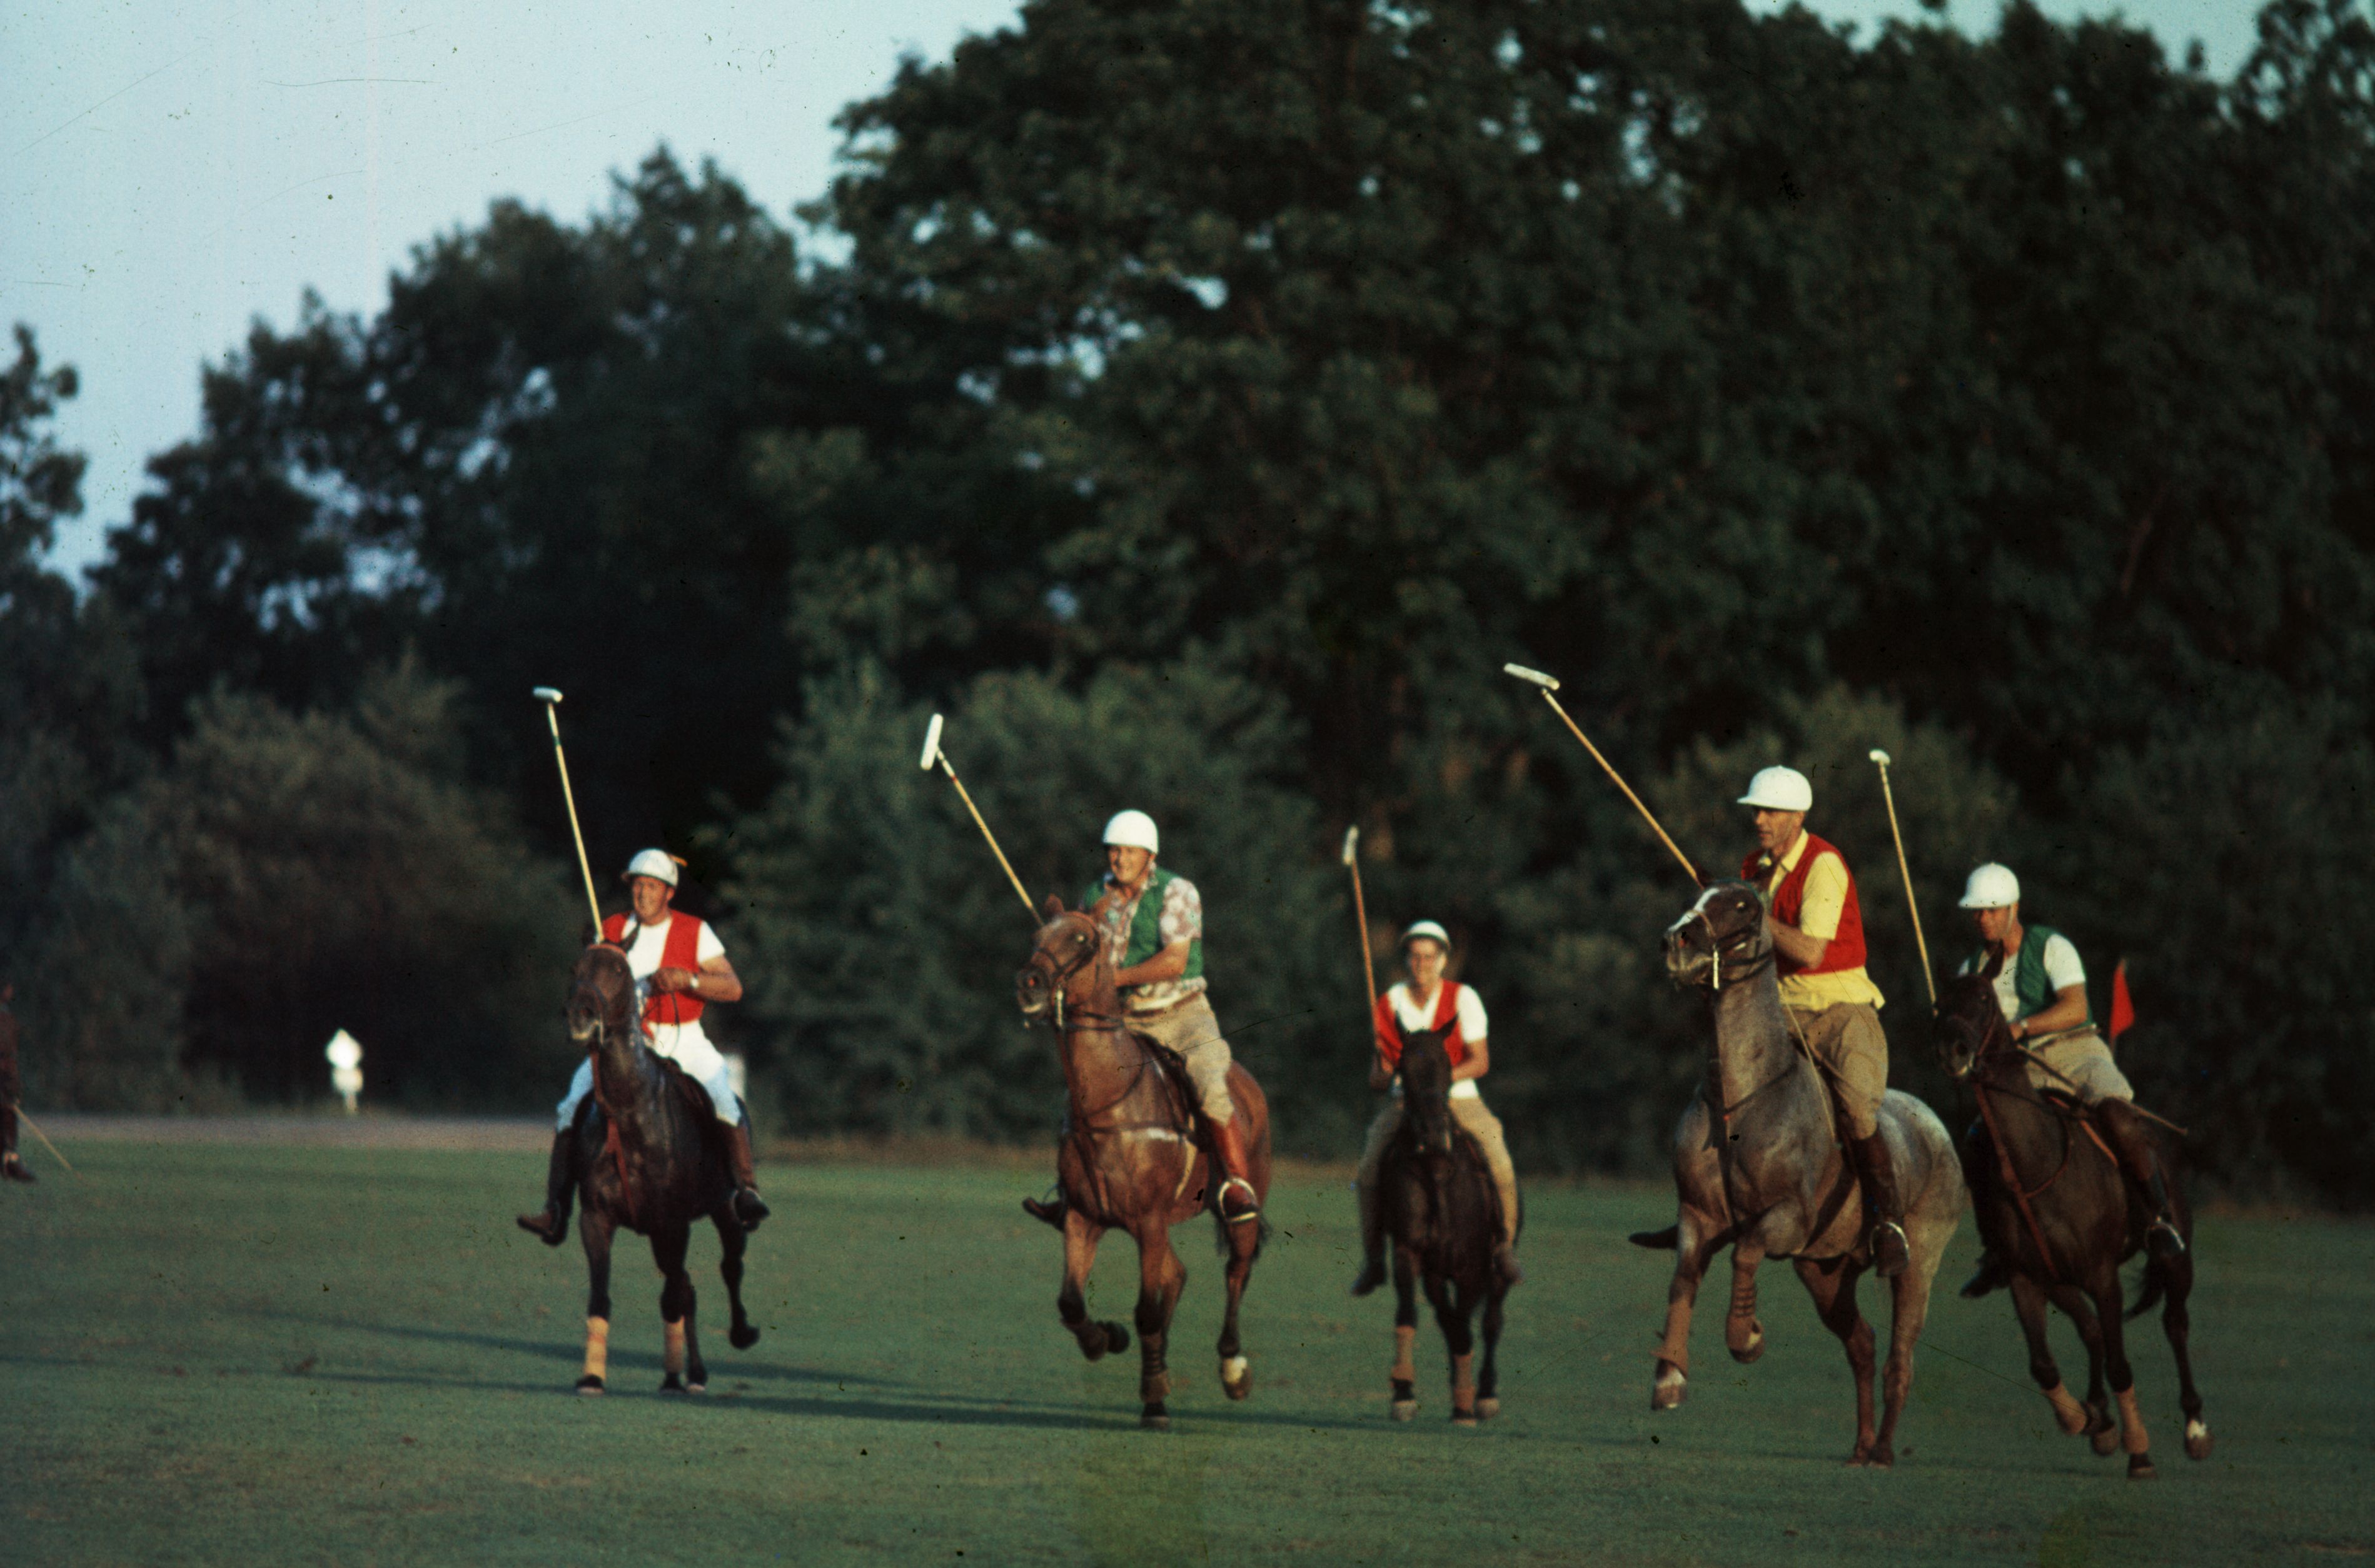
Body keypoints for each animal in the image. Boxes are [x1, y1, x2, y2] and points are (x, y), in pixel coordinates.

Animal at [560, 945, 755, 1397]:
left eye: (619, 970)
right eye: (576, 968)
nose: (580, 1015)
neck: (632, 1112)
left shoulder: (673, 1222)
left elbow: (673, 1297)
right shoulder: (596, 1219)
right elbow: (601, 1295)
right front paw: (592, 1377)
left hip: (724, 1208)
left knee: (728, 1265)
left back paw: (737, 1337)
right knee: (688, 1287)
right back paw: (690, 1373)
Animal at [1011, 898, 1273, 1425]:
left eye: (1083, 939)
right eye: (1036, 937)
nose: (1029, 982)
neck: (1107, 1105)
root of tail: (1247, 1081)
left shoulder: (1148, 1219)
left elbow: (1147, 1310)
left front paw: (1154, 1396)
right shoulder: (1084, 1216)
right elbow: (1071, 1302)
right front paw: (1107, 1340)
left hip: (1240, 1202)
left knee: (1236, 1270)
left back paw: (1233, 1368)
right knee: (1178, 1275)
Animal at [1377, 1031, 1501, 1425]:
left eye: (1448, 1066)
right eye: (1404, 1068)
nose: (1433, 1135)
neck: (1435, 1169)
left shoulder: (1472, 1267)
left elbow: (1465, 1325)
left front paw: (1467, 1402)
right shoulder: (1409, 1252)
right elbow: (1412, 1315)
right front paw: (1403, 1393)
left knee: (1492, 1321)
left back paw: (1485, 1395)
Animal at [1634, 883, 1966, 1473]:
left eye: (1742, 906)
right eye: (1700, 897)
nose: (1677, 940)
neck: (1739, 1100)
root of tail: (1934, 1122)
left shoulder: (1788, 1216)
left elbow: (1745, 1252)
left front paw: (1746, 1337)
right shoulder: (1697, 1215)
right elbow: (1683, 1278)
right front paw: (1669, 1379)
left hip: (1921, 1259)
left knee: (1901, 1353)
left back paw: (1883, 1449)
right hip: (1824, 1270)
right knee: (1861, 1342)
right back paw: (1860, 1446)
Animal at [1928, 960, 2204, 1473]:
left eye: (1983, 999)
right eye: (1939, 1004)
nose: (1952, 1051)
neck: (2035, 1163)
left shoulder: (2103, 1276)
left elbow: (2120, 1364)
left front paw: (2139, 1450)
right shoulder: (2026, 1277)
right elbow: (2044, 1363)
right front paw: (2083, 1419)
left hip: (2176, 1255)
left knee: (2175, 1323)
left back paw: (2195, 1427)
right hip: (2060, 1278)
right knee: (2091, 1330)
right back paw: (2099, 1417)